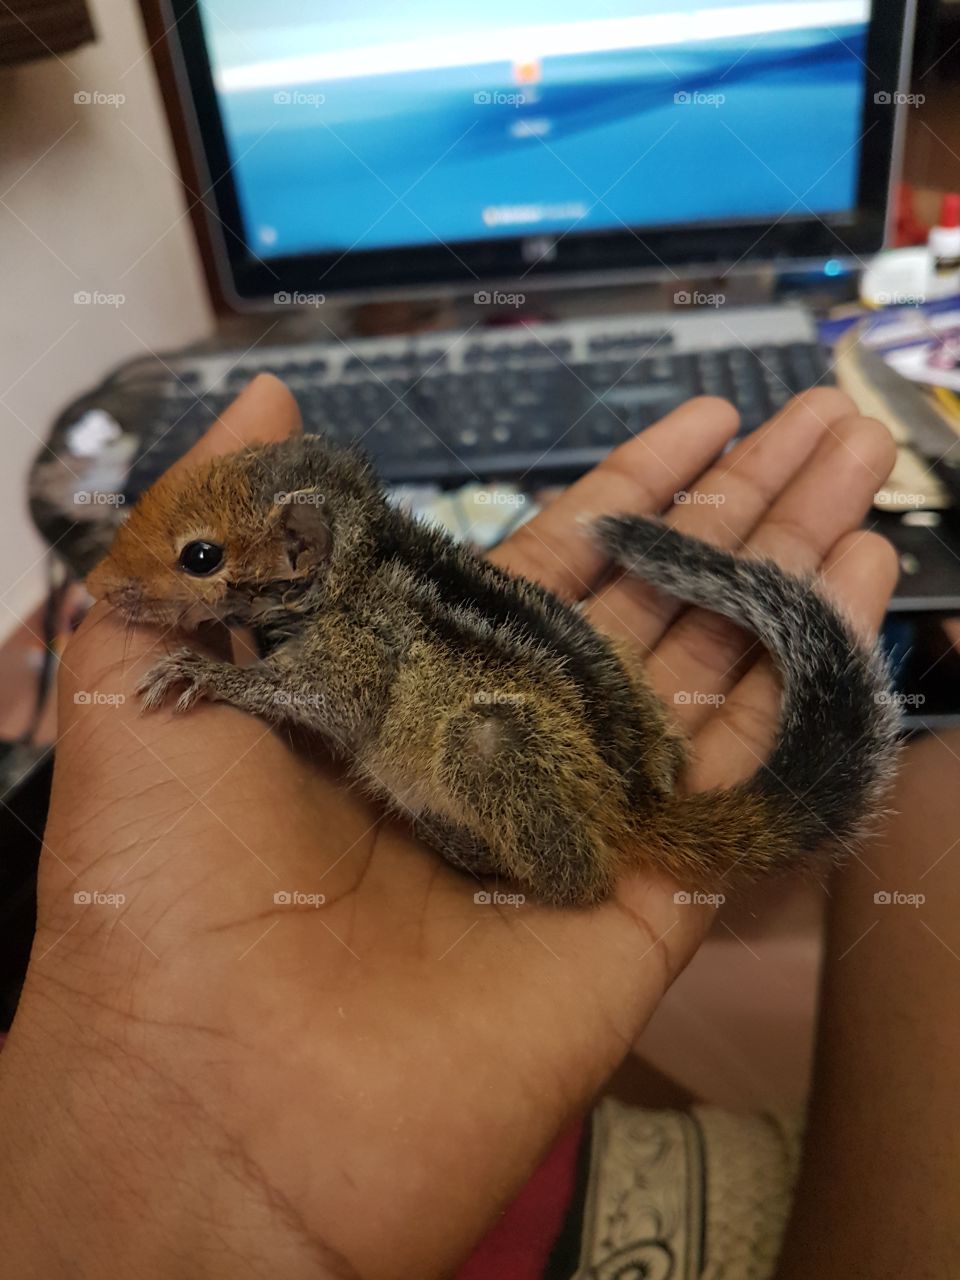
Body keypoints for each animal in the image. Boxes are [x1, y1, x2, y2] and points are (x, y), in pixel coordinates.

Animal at [86, 435, 899, 907]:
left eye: (200, 557)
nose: (94, 587)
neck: (360, 559)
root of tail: (639, 802)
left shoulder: (358, 650)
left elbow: (330, 700)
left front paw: (205, 673)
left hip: (487, 744)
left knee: (581, 883)